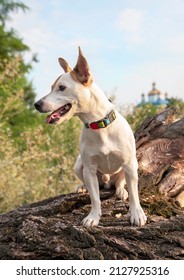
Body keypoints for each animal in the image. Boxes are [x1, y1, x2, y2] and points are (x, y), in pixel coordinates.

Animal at [34, 47, 147, 228]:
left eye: (61, 87)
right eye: (51, 87)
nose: (36, 104)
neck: (99, 126)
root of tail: (107, 181)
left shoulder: (129, 165)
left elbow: (135, 195)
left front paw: (137, 214)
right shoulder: (89, 169)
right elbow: (95, 198)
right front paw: (93, 217)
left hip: (129, 167)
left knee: (120, 182)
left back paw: (121, 190)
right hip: (78, 165)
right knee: (92, 185)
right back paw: (82, 187)